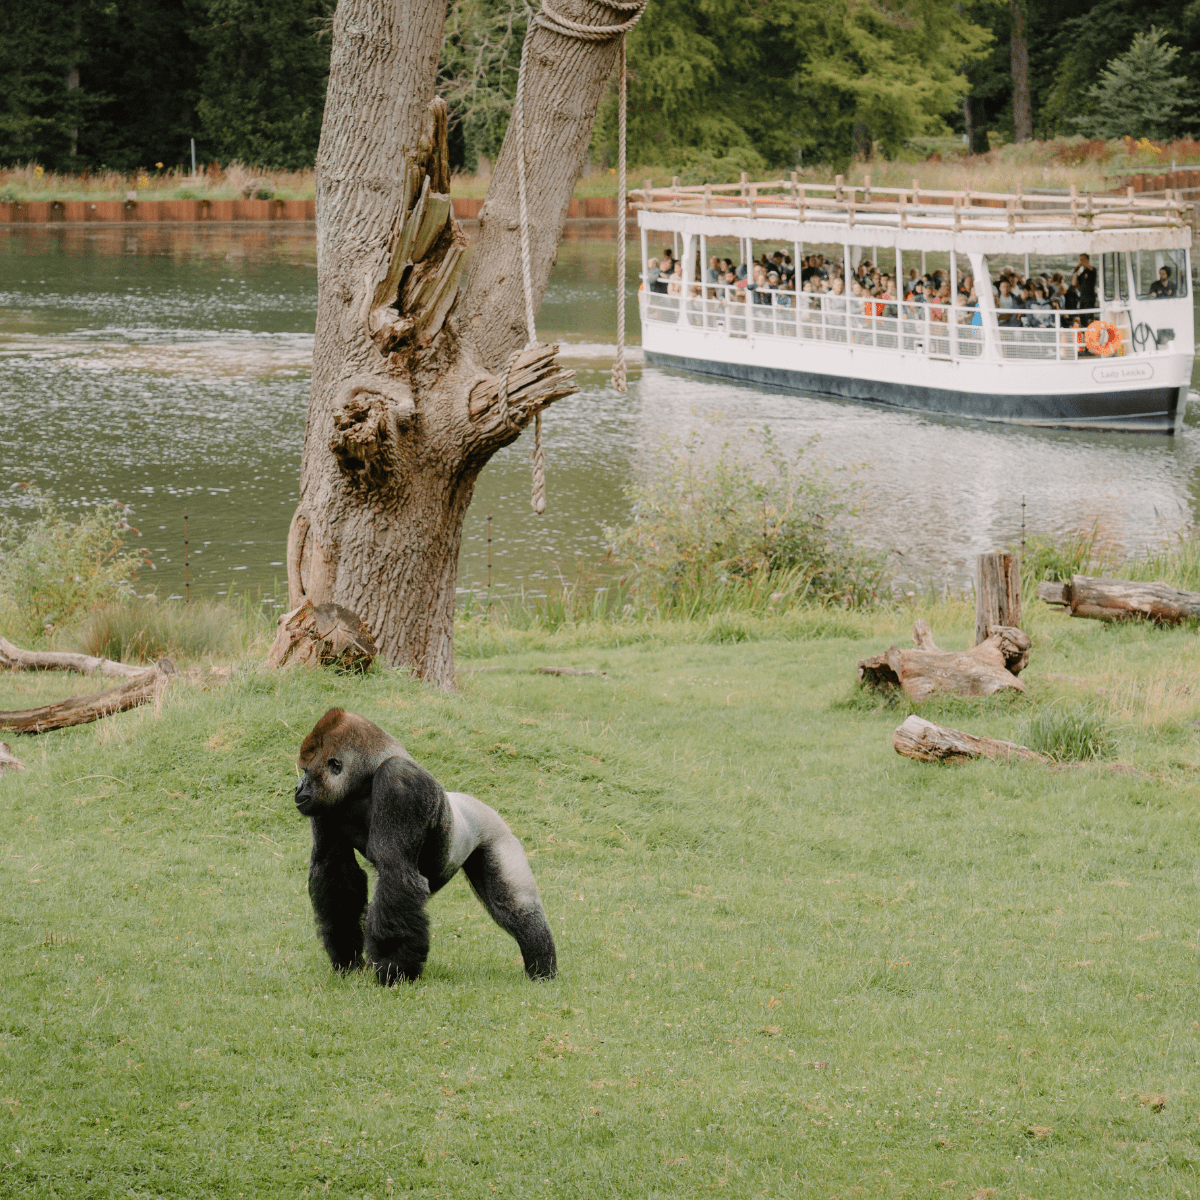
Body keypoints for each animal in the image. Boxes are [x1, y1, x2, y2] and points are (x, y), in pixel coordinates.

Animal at [294, 708, 557, 983]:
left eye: (306, 771)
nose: (297, 787)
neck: (366, 777)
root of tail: (480, 805)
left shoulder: (399, 781)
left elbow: (396, 871)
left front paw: (393, 969)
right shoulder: (326, 803)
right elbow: (334, 870)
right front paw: (347, 958)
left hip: (497, 834)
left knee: (515, 907)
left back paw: (542, 965)